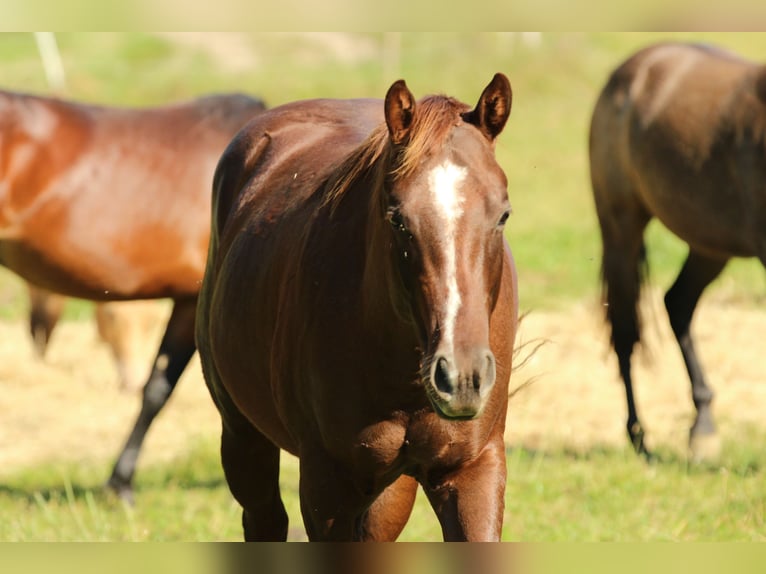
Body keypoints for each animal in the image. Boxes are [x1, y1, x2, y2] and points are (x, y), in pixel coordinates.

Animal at [196, 73, 518, 541]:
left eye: (503, 214)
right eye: (397, 218)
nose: (461, 377)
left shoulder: (473, 469)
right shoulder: (327, 487)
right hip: (242, 437)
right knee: (264, 518)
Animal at [590, 41, 766, 460]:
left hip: (709, 245)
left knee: (678, 304)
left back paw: (702, 427)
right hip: (621, 228)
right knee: (626, 326)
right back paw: (639, 436)